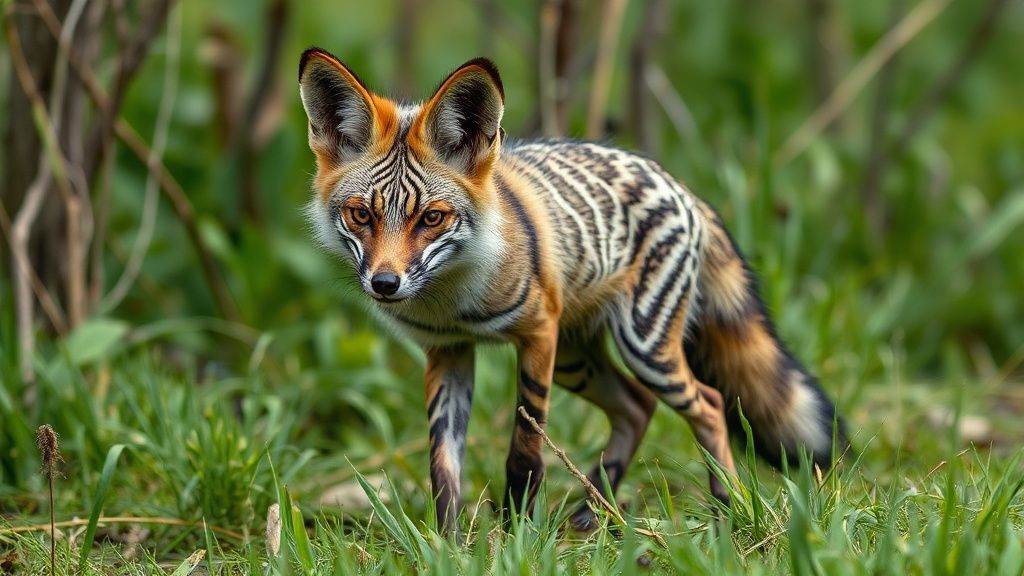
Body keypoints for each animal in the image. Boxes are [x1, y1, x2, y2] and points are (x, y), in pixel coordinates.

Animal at [298, 47, 848, 537]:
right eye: (360, 215)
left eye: (432, 218)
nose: (384, 284)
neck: (455, 302)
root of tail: (685, 189)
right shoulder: (449, 352)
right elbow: (444, 469)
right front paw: (449, 547)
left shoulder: (538, 336)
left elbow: (524, 456)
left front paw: (516, 539)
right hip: (577, 360)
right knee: (636, 408)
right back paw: (594, 515)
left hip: (642, 348)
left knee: (709, 405)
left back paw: (727, 511)